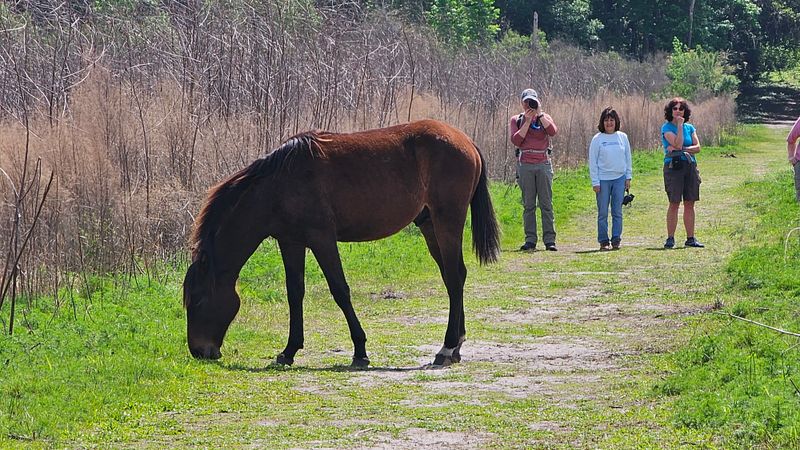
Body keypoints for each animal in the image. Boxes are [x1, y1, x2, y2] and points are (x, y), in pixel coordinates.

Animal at [182, 119, 501, 368]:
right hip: (430, 225)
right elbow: (295, 293)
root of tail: (466, 141)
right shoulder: (290, 242)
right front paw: (289, 351)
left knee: (455, 277)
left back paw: (446, 347)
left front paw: (360, 351)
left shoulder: (322, 238)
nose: (199, 351)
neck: (277, 185)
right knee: (453, 276)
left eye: (198, 299)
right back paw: (456, 345)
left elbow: (340, 291)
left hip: (447, 222)